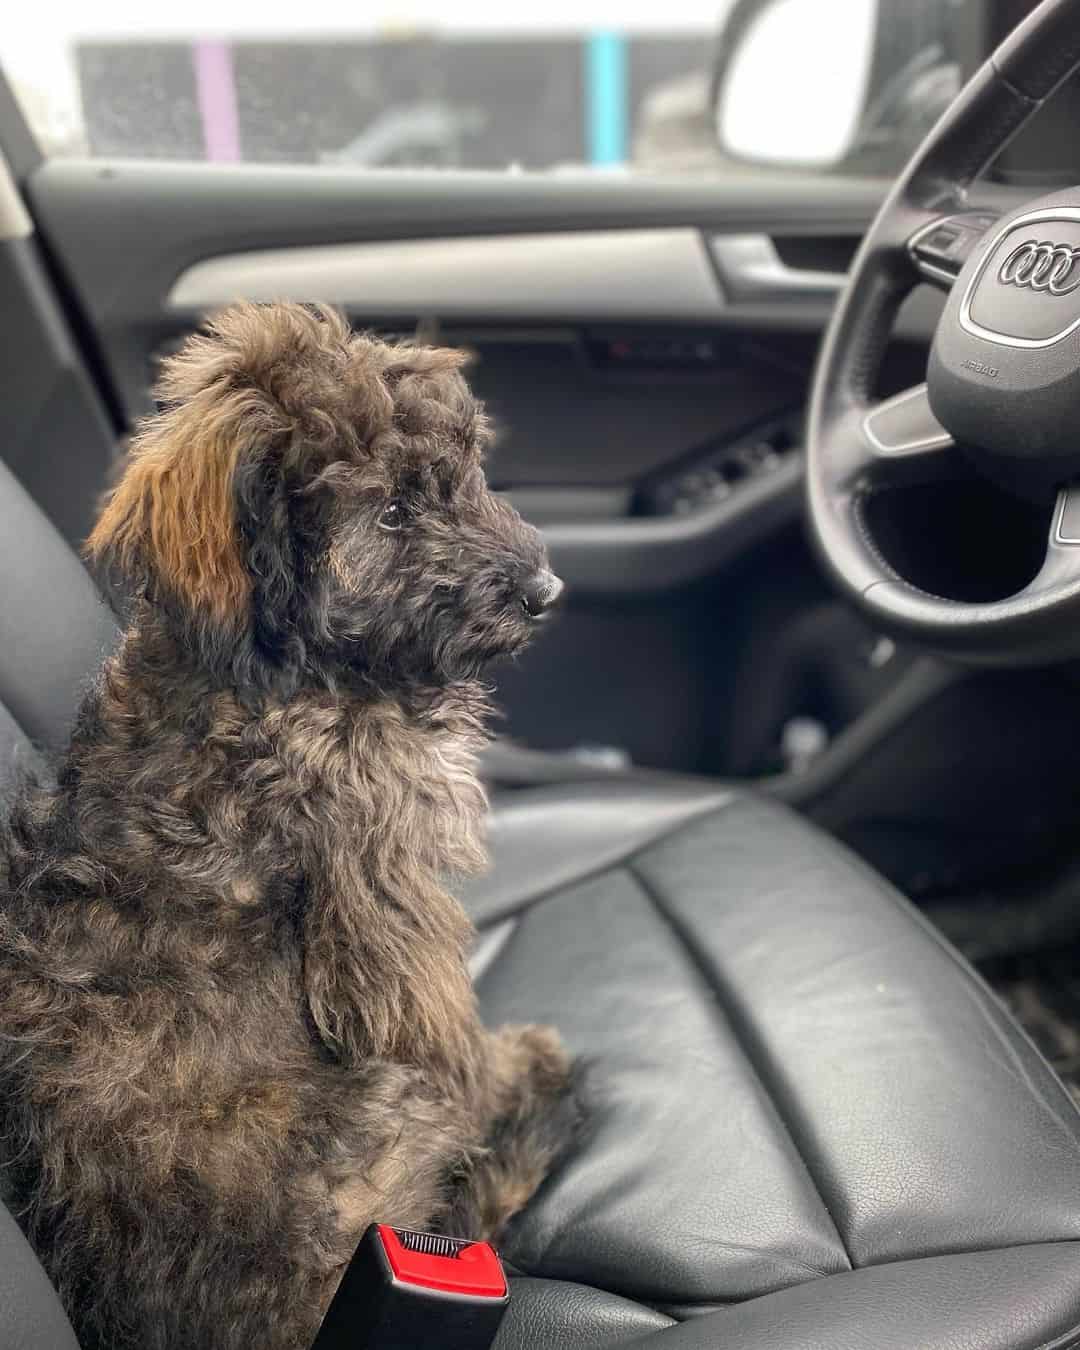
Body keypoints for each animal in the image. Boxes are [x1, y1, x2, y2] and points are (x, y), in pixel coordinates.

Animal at [0, 303, 583, 1350]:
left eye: (463, 474)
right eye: (389, 514)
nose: (545, 590)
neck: (272, 674)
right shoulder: (386, 906)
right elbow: (444, 1029)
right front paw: (512, 1068)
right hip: (383, 1122)